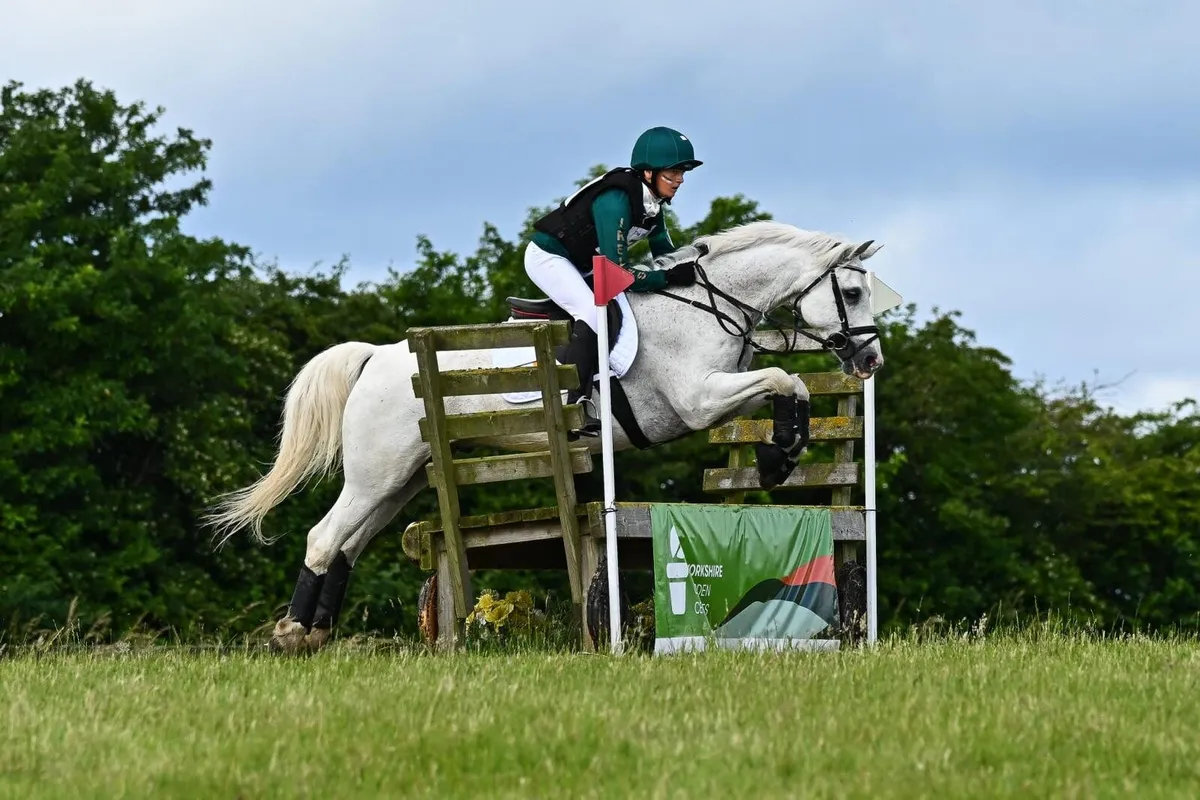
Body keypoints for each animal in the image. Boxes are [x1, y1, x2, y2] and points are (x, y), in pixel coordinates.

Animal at [203, 220, 886, 653]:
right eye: (852, 291)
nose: (870, 360)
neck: (709, 305)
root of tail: (377, 356)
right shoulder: (696, 402)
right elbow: (782, 376)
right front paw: (781, 454)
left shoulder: (718, 395)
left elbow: (787, 383)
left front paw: (781, 454)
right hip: (377, 473)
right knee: (325, 538)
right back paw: (292, 634)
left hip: (400, 480)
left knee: (347, 544)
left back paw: (315, 632)